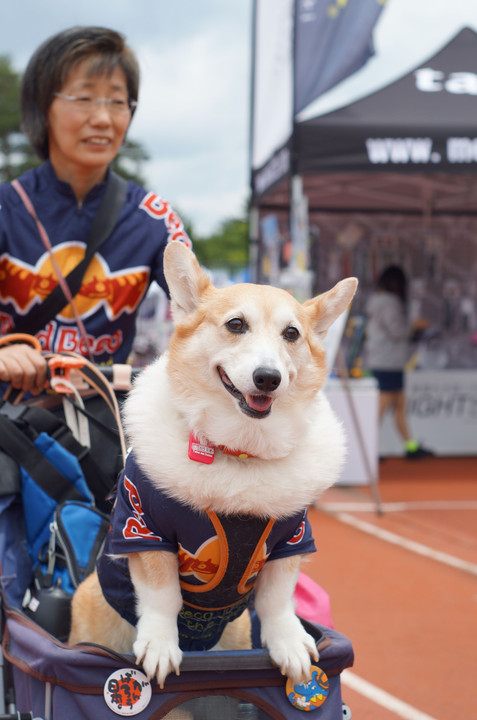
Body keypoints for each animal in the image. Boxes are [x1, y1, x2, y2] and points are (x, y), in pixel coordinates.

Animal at [68, 240, 356, 688]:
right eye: (236, 324)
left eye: (292, 334)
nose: (268, 378)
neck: (238, 452)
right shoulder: (144, 530)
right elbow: (162, 596)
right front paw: (160, 645)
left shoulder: (291, 540)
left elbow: (278, 600)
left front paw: (290, 644)